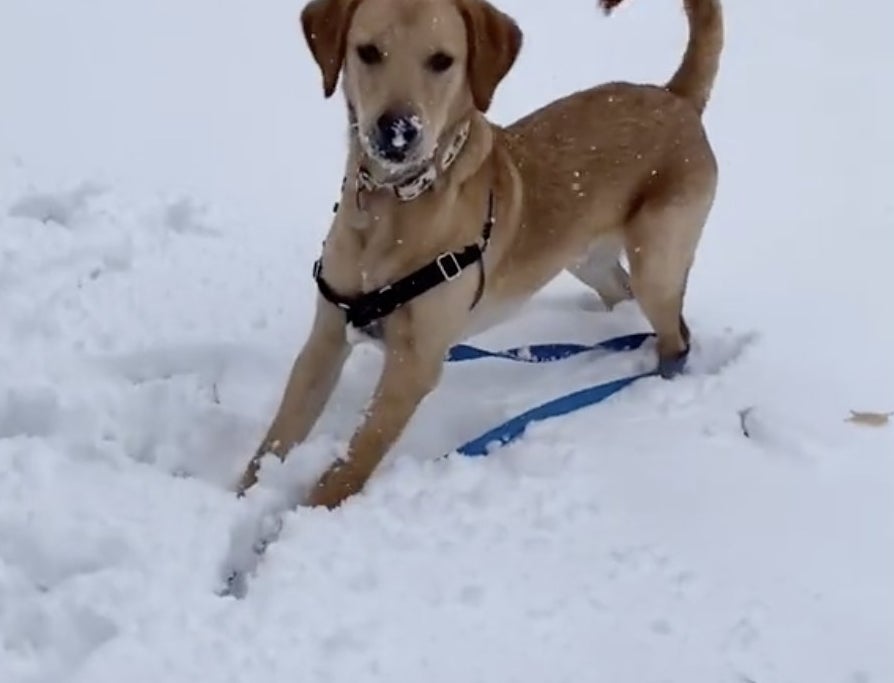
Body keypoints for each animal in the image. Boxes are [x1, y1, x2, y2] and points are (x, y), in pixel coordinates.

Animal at [240, 0, 728, 508]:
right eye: (368, 52)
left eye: (442, 61)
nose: (397, 132)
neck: (393, 209)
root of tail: (675, 96)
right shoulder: (327, 336)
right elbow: (276, 439)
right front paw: (245, 498)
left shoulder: (415, 363)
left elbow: (352, 461)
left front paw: (296, 518)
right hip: (585, 258)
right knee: (622, 293)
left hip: (658, 259)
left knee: (676, 336)